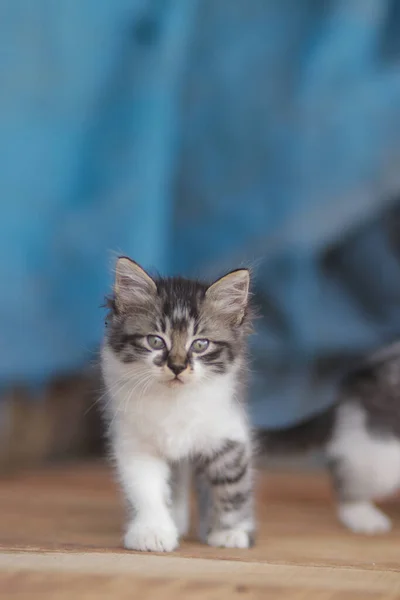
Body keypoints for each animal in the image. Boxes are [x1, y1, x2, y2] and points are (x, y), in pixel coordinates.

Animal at [101, 255, 255, 552]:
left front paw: (230, 532)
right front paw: (152, 532)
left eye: (200, 345)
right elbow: (146, 490)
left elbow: (232, 486)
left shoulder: (227, 434)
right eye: (155, 341)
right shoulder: (135, 443)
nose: (177, 366)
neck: (173, 402)